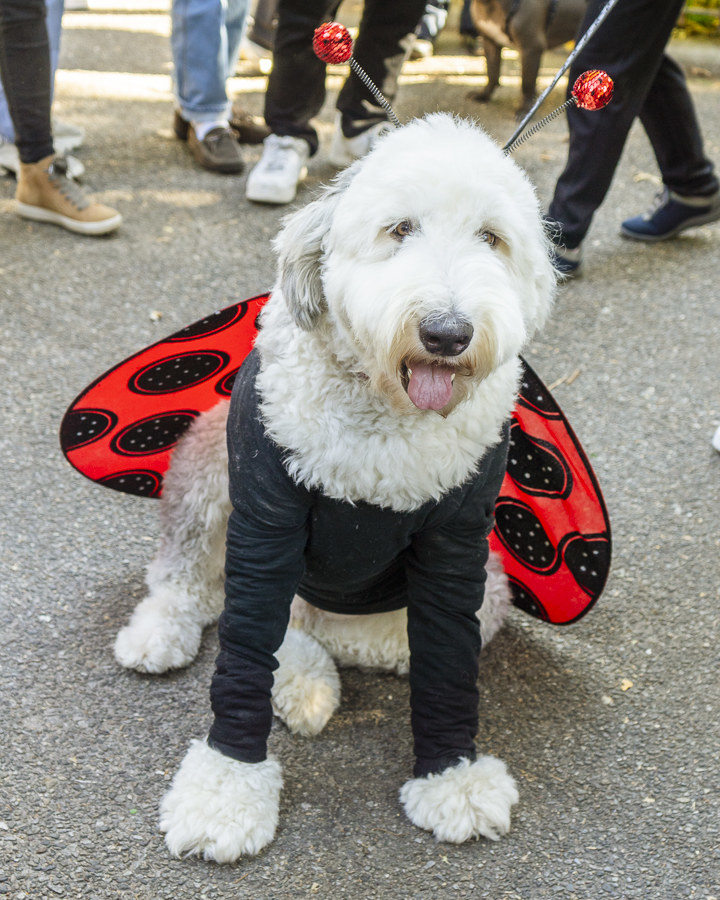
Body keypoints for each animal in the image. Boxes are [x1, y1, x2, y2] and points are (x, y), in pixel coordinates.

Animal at [116, 116, 556, 860]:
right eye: (399, 228)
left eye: (492, 238)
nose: (447, 333)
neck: (384, 414)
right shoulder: (267, 515)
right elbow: (241, 647)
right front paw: (225, 790)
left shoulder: (458, 542)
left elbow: (447, 661)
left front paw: (452, 777)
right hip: (208, 455)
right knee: (194, 583)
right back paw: (162, 634)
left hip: (485, 589)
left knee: (320, 632)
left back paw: (306, 682)